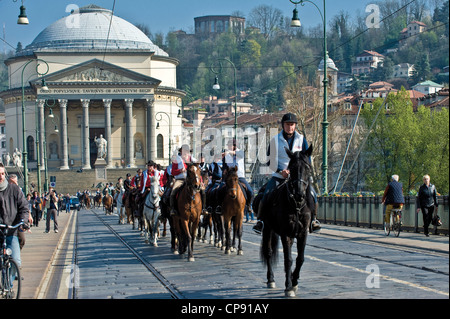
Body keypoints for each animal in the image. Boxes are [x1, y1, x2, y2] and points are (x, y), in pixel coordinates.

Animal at [255, 146, 314, 298]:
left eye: (307, 168)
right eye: (291, 168)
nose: (299, 194)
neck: (296, 205)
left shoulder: (302, 233)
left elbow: (300, 258)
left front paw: (294, 281)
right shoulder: (285, 234)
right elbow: (288, 260)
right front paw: (288, 287)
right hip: (267, 228)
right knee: (268, 252)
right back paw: (271, 279)